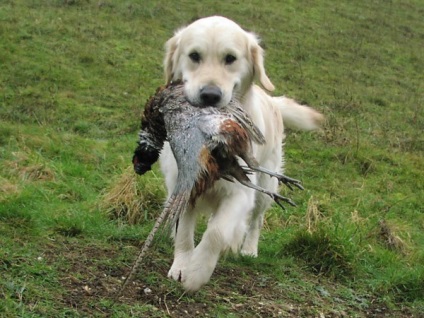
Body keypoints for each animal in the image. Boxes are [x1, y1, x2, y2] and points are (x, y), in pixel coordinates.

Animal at [158, 16, 322, 292]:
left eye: (230, 58)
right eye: (194, 56)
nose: (210, 95)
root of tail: (272, 101)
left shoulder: (240, 191)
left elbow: (216, 233)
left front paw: (197, 272)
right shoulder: (183, 187)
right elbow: (183, 231)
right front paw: (181, 265)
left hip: (266, 183)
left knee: (255, 219)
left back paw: (247, 249)